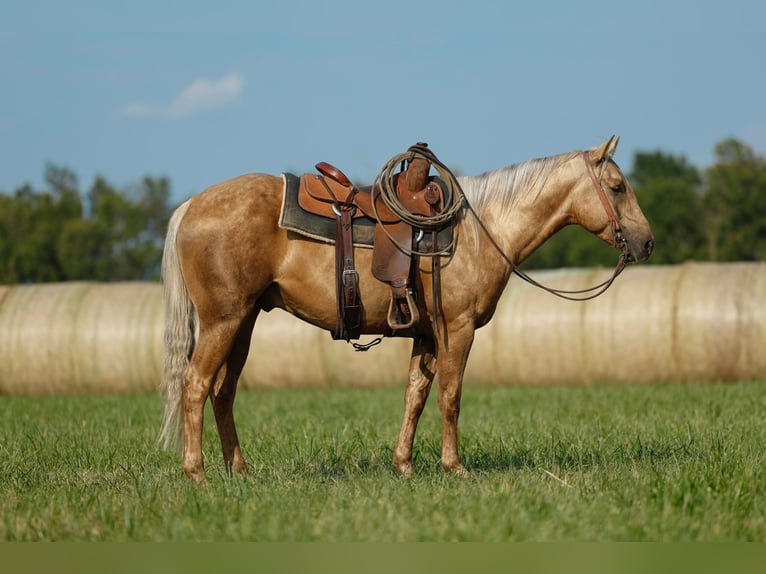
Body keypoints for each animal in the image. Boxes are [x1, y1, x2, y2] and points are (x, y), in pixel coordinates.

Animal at [160, 136, 656, 482]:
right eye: (617, 186)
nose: (647, 242)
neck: (482, 231)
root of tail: (191, 206)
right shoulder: (458, 329)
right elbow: (450, 396)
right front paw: (455, 467)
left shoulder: (426, 334)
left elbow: (415, 394)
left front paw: (404, 464)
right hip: (223, 321)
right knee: (196, 385)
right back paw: (197, 472)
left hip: (243, 324)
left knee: (223, 392)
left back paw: (239, 471)